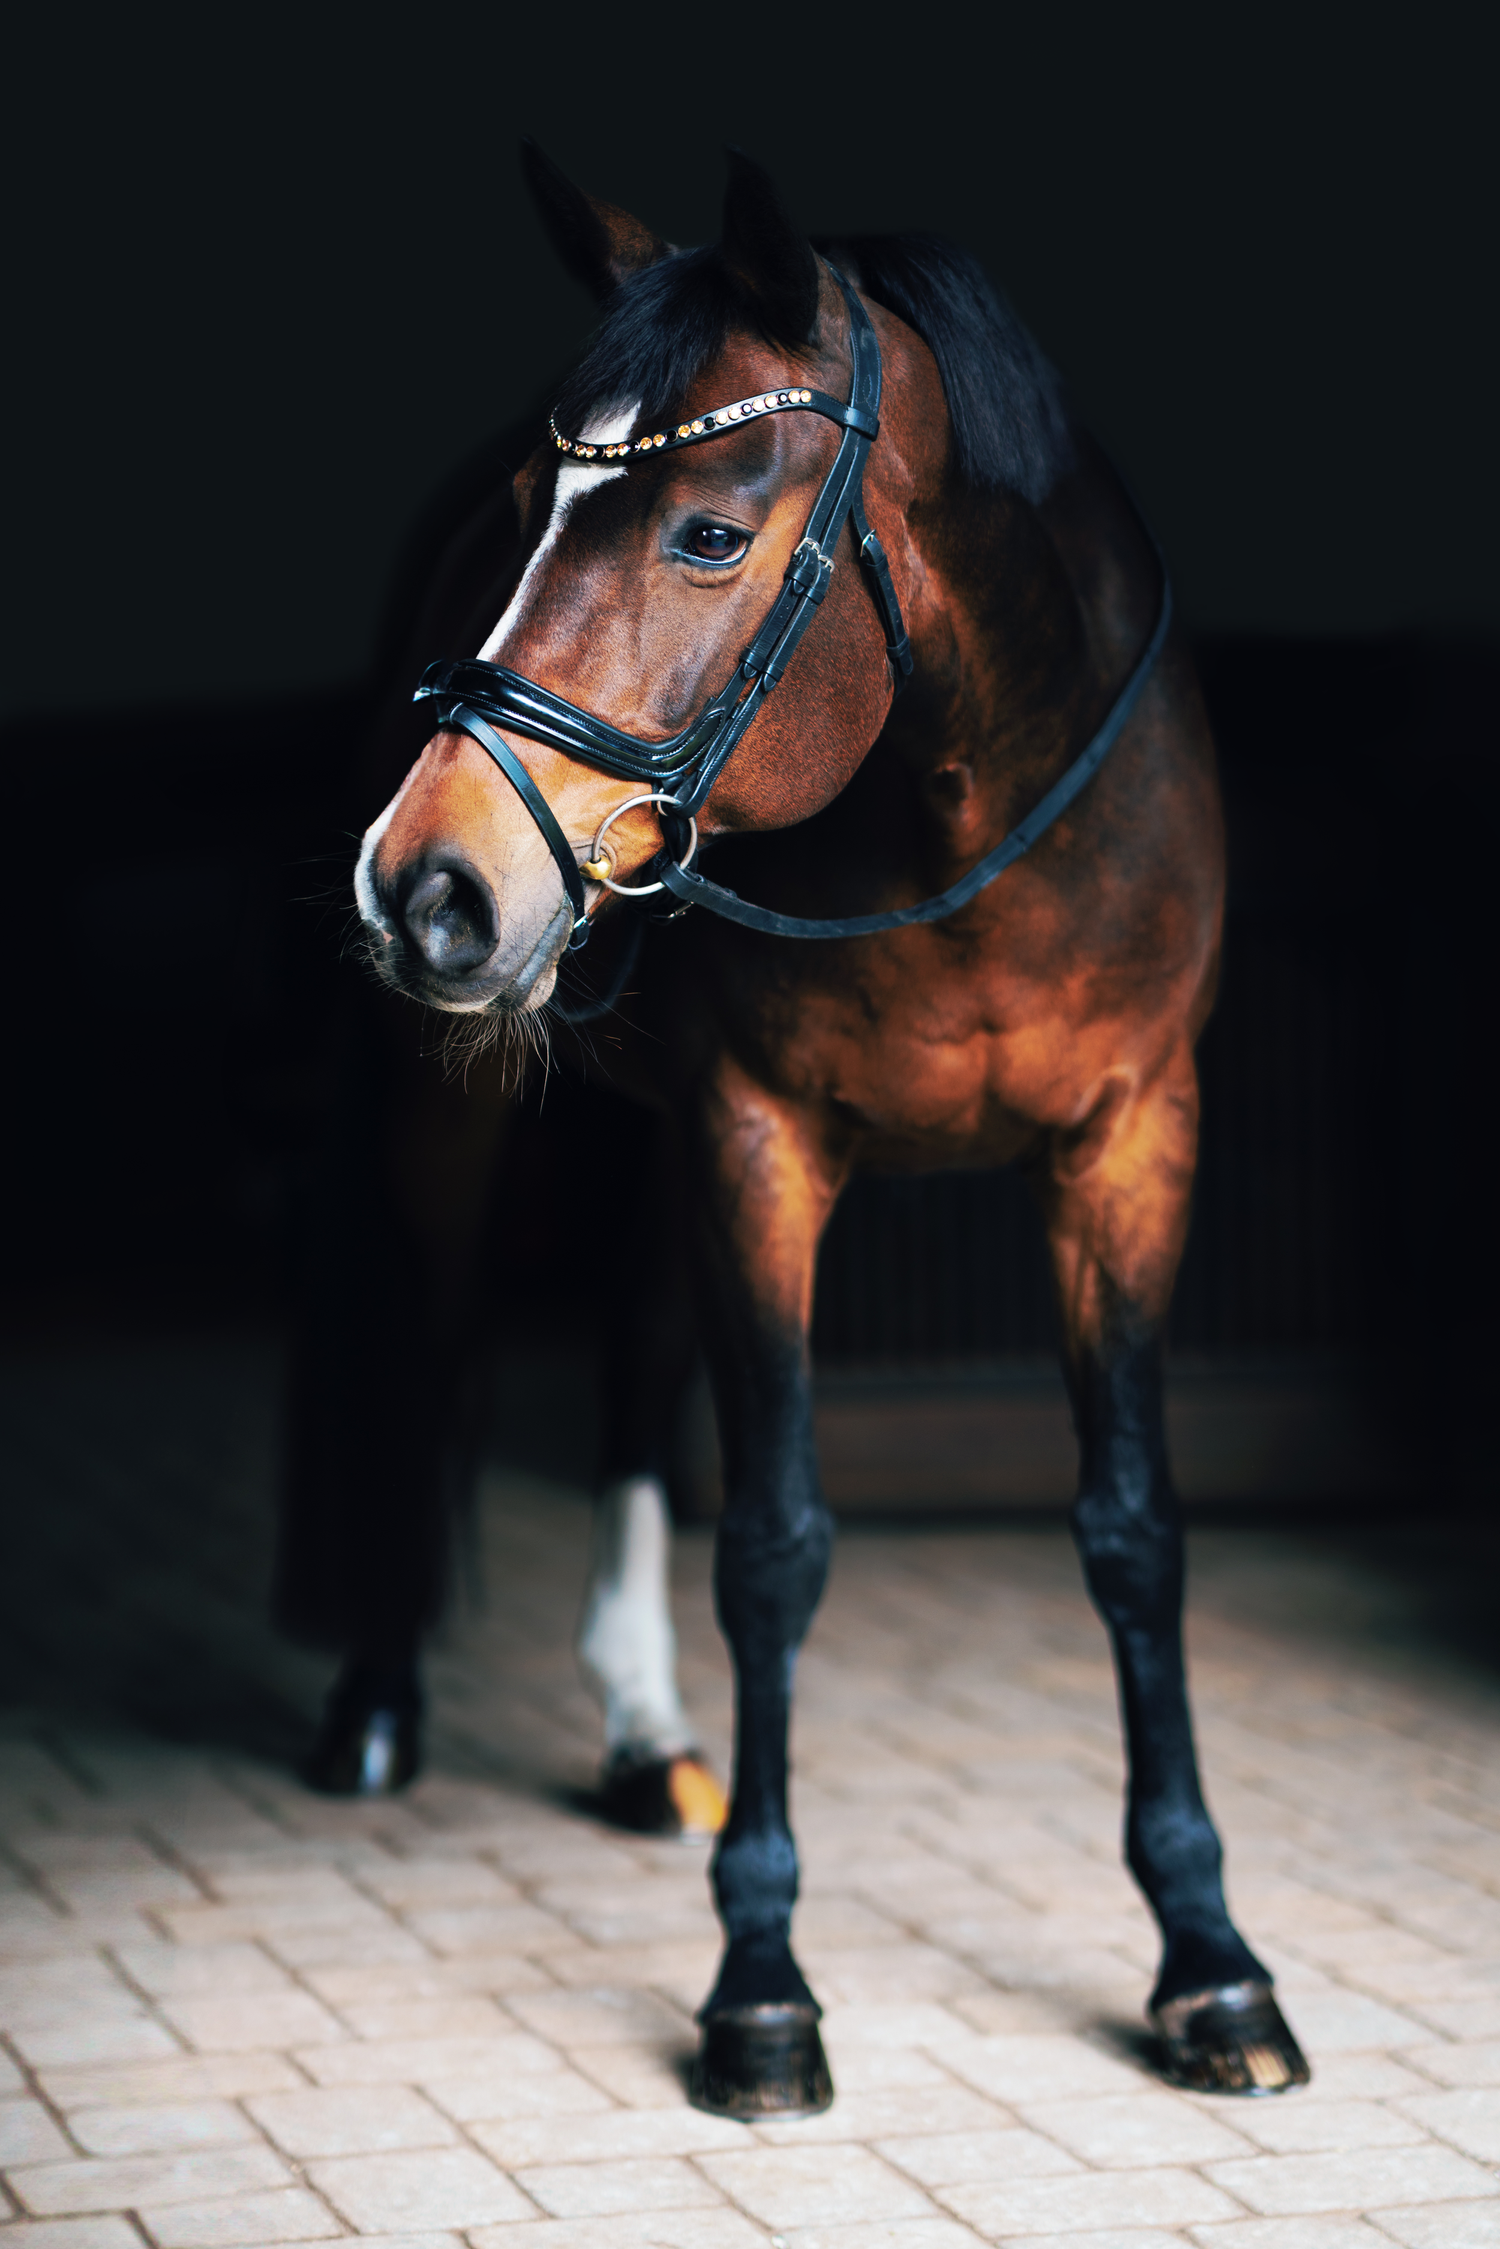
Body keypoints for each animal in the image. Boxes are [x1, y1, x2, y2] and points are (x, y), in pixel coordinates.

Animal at [349, 139, 1310, 2116]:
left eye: (709, 534)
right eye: (529, 506)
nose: (423, 886)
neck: (967, 801)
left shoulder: (1128, 1147)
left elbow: (1135, 1530)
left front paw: (1210, 1959)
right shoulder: (760, 1146)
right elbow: (776, 1543)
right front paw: (762, 1983)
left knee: (635, 1359)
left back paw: (644, 1734)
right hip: (453, 1104)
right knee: (428, 1316)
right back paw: (379, 1707)